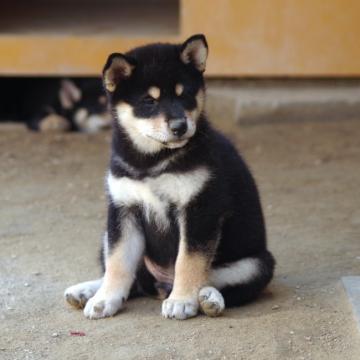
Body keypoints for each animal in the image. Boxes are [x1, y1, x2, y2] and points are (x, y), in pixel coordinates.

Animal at [64, 34, 276, 320]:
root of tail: (161, 285)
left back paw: (208, 299)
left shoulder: (199, 209)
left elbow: (188, 260)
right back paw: (87, 291)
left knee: (219, 282)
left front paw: (182, 300)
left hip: (258, 263)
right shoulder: (124, 209)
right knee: (130, 279)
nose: (180, 126)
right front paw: (106, 298)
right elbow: (118, 263)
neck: (152, 161)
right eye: (149, 101)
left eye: (183, 94)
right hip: (106, 237)